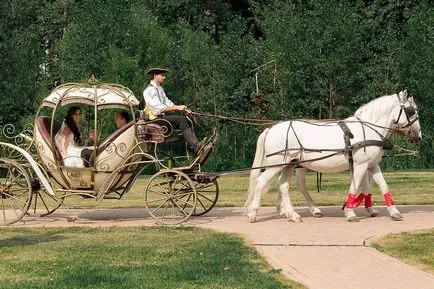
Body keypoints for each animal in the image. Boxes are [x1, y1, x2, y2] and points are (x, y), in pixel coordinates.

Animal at [246, 91, 422, 222]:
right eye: (411, 111)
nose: (418, 136)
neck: (369, 128)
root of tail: (270, 129)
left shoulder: (372, 165)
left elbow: (383, 186)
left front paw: (394, 211)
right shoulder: (360, 165)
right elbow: (355, 187)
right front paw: (350, 213)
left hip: (289, 165)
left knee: (284, 186)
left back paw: (293, 214)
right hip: (277, 164)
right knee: (261, 182)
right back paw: (254, 213)